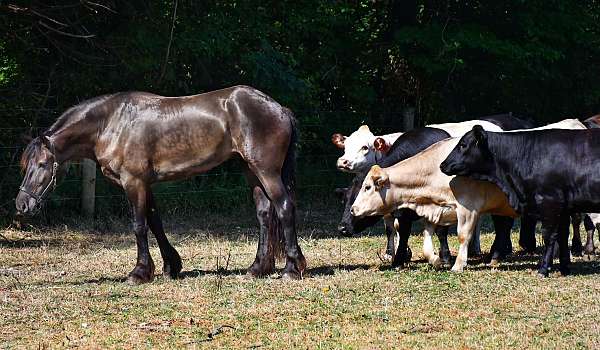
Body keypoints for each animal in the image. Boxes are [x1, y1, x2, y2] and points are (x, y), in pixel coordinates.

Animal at [438, 126, 600, 276]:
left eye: (463, 144)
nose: (442, 164)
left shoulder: (550, 202)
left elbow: (549, 237)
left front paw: (543, 269)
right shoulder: (564, 208)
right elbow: (562, 236)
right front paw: (564, 268)